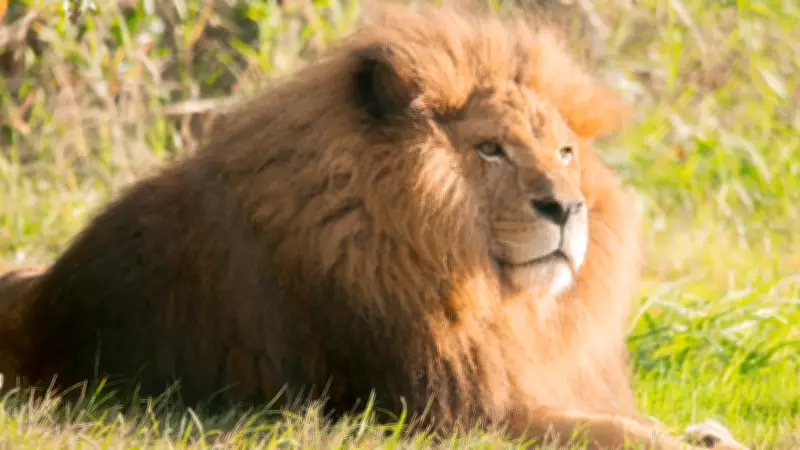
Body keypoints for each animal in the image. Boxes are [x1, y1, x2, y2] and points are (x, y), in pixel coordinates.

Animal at [4, 4, 746, 449]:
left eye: (565, 152)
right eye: (490, 149)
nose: (566, 207)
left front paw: (709, 431)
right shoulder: (448, 411)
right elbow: (616, 432)